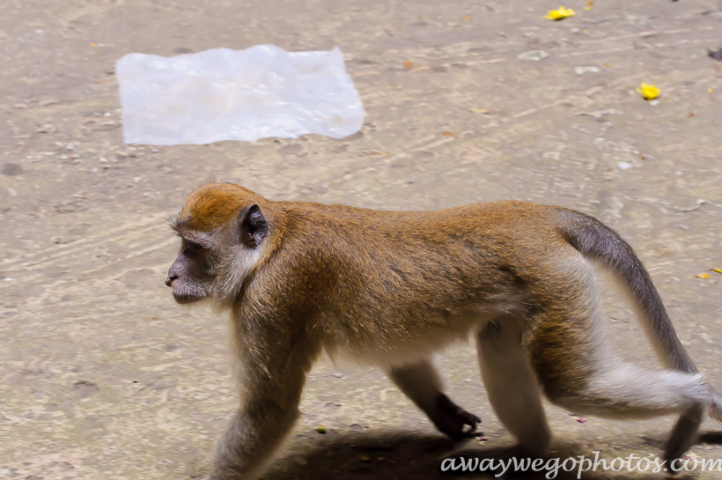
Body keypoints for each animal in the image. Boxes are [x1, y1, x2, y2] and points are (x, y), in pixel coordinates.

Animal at [165, 182, 720, 478]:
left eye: (193, 249)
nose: (169, 275)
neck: (271, 245)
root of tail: (536, 214)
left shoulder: (273, 299)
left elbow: (270, 410)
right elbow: (400, 356)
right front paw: (445, 414)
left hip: (557, 279)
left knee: (573, 386)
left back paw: (696, 401)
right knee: (498, 342)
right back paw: (529, 448)